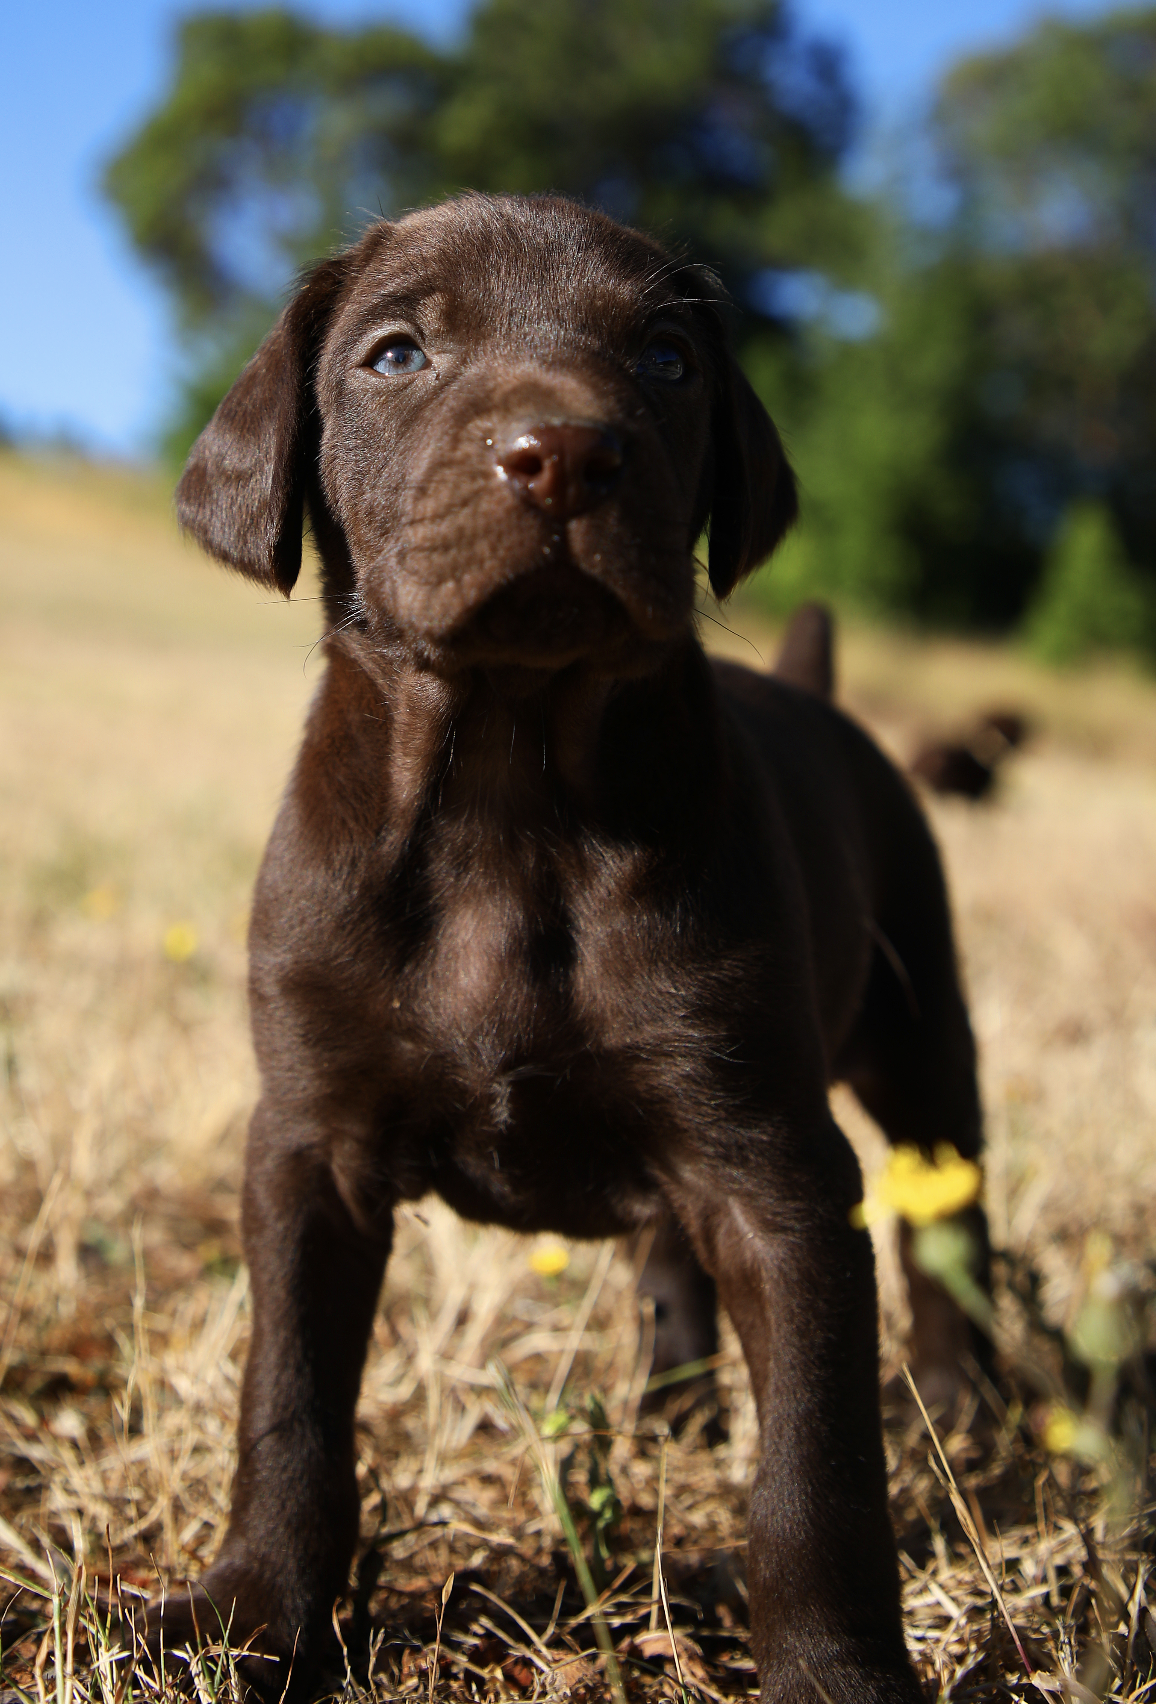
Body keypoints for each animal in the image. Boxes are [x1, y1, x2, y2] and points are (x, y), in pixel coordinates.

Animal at [161, 193, 988, 1697]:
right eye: (394, 354)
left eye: (666, 361)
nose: (563, 456)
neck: (509, 783)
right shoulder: (307, 1150)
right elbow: (288, 1404)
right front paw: (251, 1618)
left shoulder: (777, 1173)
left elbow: (816, 1472)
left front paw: (833, 1670)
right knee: (667, 1252)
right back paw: (670, 1407)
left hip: (920, 1044)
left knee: (954, 1214)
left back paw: (962, 1401)